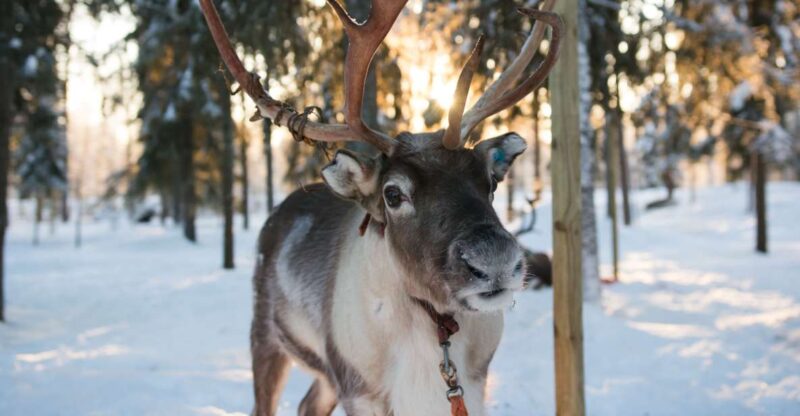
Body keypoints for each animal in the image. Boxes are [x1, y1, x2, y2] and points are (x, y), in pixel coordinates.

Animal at [198, 1, 562, 415]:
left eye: (490, 182)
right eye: (393, 194)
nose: (495, 261)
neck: (433, 326)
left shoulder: (473, 384)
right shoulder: (361, 391)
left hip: (327, 377)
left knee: (308, 404)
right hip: (268, 338)